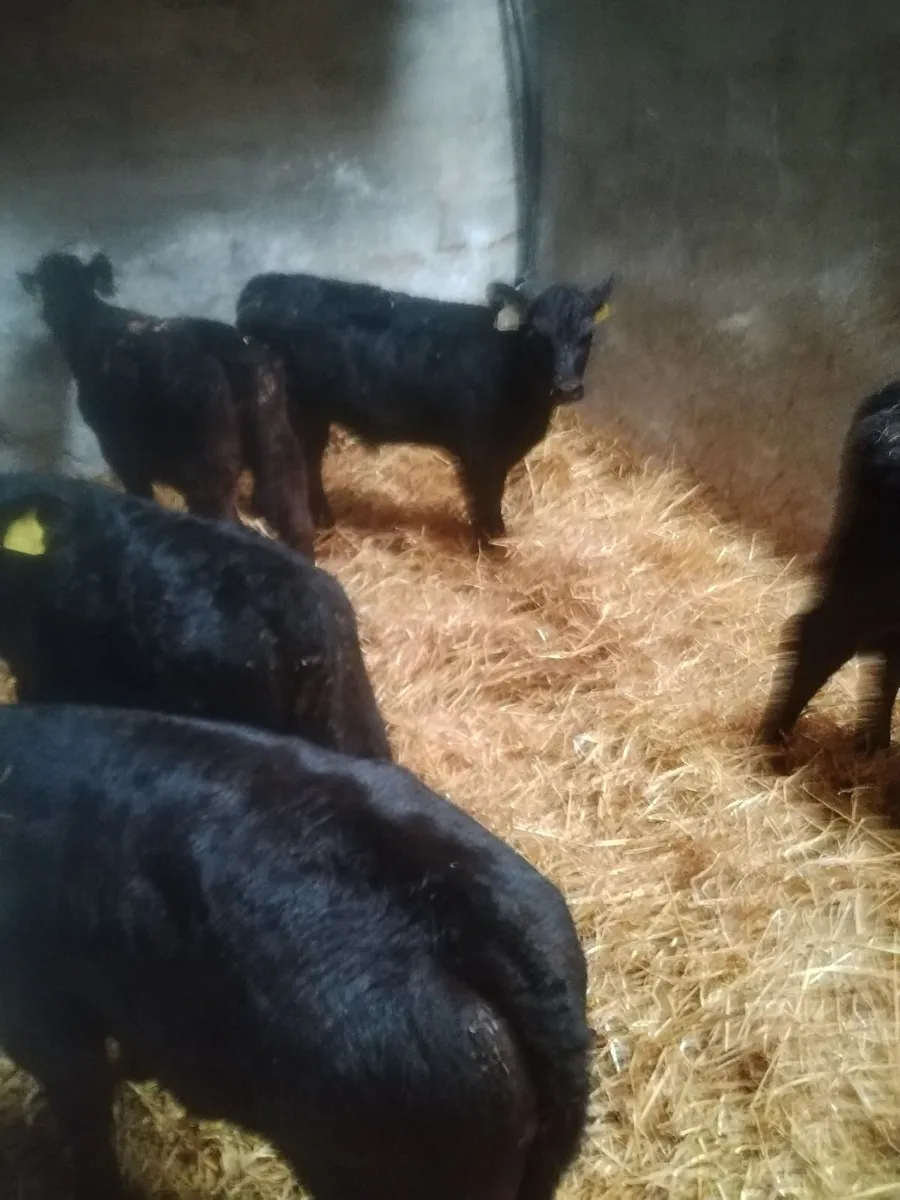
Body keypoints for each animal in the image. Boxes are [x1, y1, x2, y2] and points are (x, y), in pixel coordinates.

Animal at [236, 271, 615, 547]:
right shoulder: (479, 451)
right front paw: (491, 546)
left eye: (587, 335)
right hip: (297, 410)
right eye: (537, 334)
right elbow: (486, 498)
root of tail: (262, 285)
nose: (566, 387)